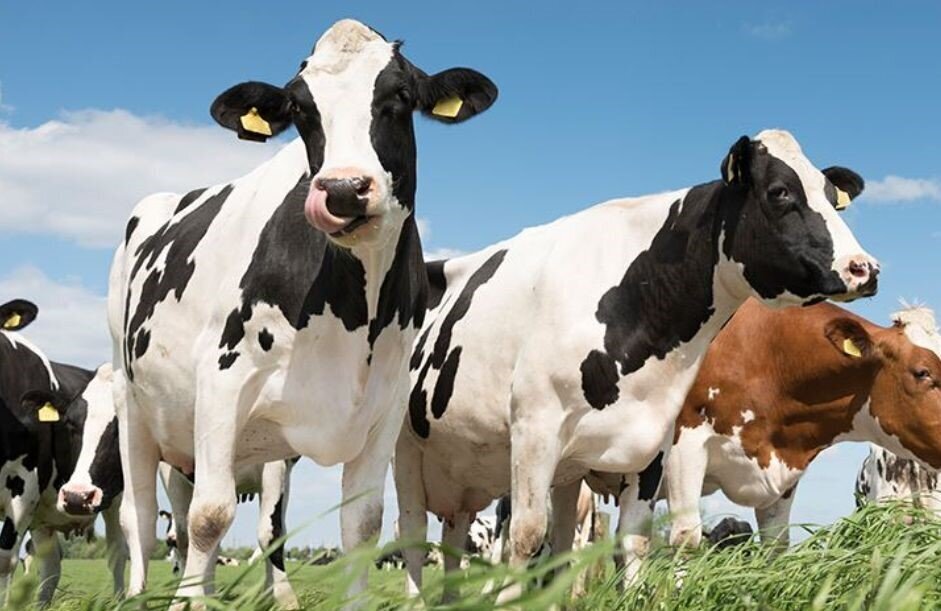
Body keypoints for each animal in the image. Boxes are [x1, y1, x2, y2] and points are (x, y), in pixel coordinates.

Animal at [0, 300, 126, 606]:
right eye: (69, 423)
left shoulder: (23, 490)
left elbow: (4, 561)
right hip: (44, 515)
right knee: (51, 564)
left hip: (116, 500)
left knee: (118, 553)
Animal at [108, 18, 497, 606]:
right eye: (300, 109)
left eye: (400, 97)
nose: (342, 189)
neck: (353, 312)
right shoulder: (221, 380)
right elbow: (209, 517)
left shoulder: (383, 407)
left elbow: (362, 525)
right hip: (132, 401)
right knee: (144, 520)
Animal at [396, 129, 878, 599]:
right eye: (780, 192)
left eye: (833, 197)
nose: (865, 268)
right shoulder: (535, 428)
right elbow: (528, 536)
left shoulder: (652, 444)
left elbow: (632, 541)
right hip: (406, 449)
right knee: (413, 537)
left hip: (482, 476)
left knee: (472, 543)